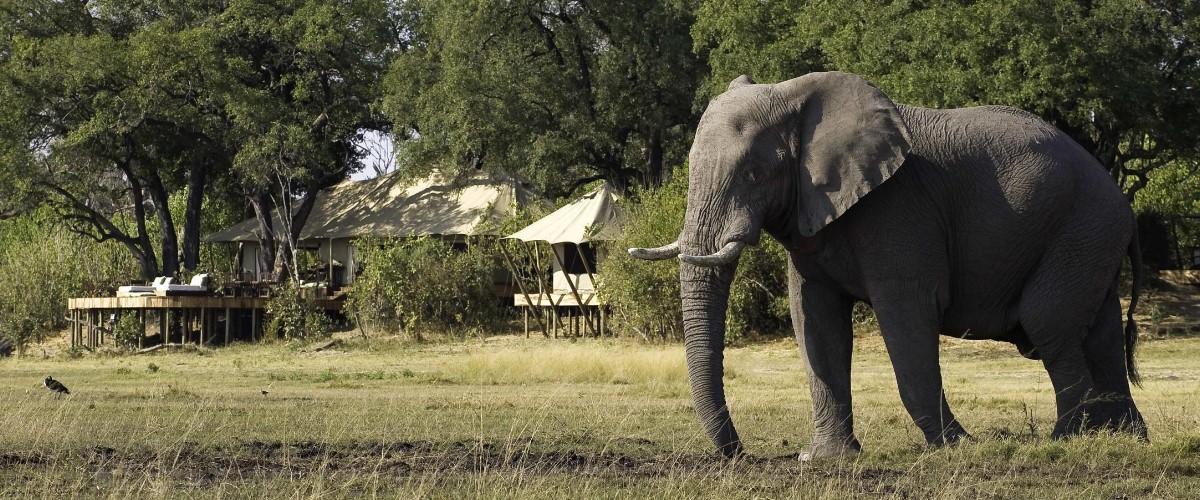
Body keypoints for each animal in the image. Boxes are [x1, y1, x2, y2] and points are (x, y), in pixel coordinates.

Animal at [629, 72, 1146, 459]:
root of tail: (1121, 198)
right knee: (1098, 333)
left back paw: (1068, 440)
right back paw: (1126, 438)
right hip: (1091, 237)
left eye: (754, 173)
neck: (797, 97)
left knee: (1048, 323)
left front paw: (955, 448)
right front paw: (826, 459)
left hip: (1082, 226)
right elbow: (814, 319)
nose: (743, 454)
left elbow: (906, 314)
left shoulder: (898, 208)